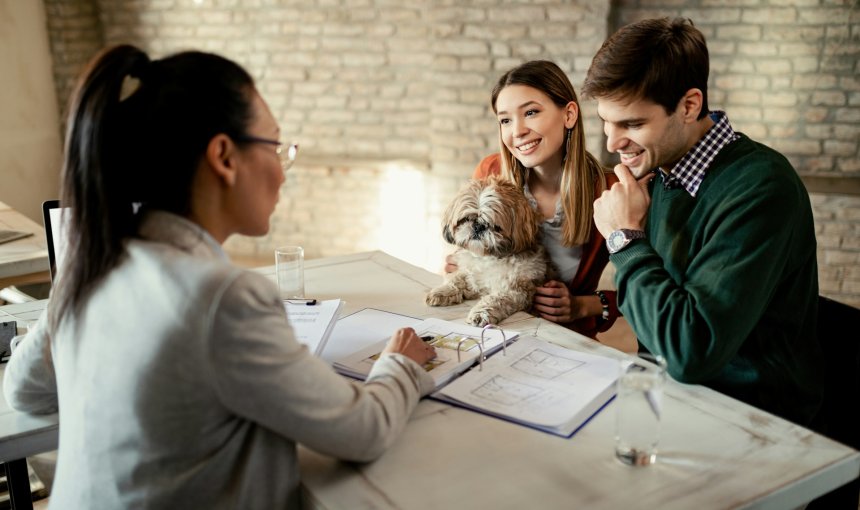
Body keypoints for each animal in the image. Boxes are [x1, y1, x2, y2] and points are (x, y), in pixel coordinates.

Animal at [424, 176, 552, 326]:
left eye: (496, 226)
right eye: (466, 219)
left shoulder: (515, 290)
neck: (487, 257)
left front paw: (480, 314)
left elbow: (495, 300)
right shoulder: (471, 273)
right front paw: (443, 291)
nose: (478, 226)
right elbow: (457, 278)